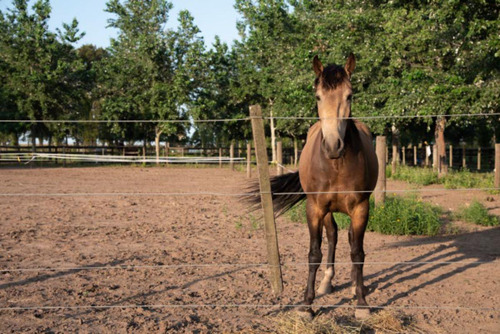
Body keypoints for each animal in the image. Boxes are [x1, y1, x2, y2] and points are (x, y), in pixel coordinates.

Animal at [264, 53, 376, 320]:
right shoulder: (314, 208)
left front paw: (361, 303)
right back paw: (327, 282)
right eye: (318, 97)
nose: (333, 145)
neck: (336, 165)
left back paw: (355, 285)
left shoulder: (361, 208)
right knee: (333, 234)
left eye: (349, 95)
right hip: (325, 210)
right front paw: (307, 305)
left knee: (349, 239)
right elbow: (314, 253)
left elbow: (358, 253)